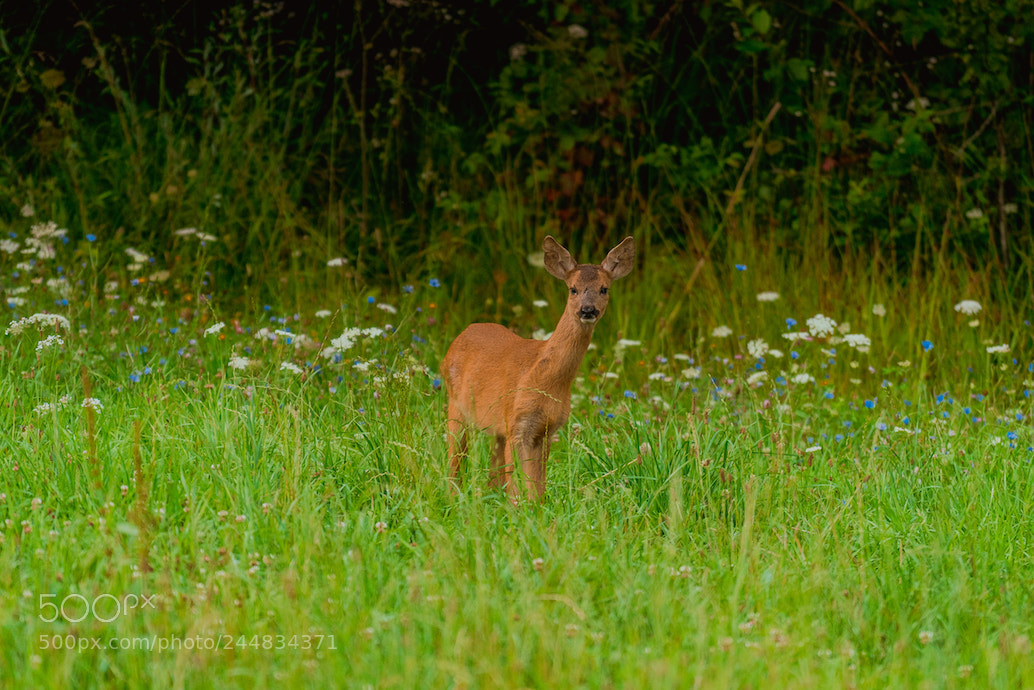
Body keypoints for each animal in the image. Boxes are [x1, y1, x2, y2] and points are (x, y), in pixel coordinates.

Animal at [440, 235, 636, 502]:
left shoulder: (544, 430)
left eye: (604, 289)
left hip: (496, 427)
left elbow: (537, 487)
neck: (544, 379)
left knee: (493, 471)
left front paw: (535, 508)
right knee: (456, 460)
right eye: (573, 288)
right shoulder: (516, 423)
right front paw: (516, 509)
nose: (587, 310)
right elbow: (516, 485)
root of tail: (460, 336)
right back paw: (453, 497)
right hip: (456, 407)